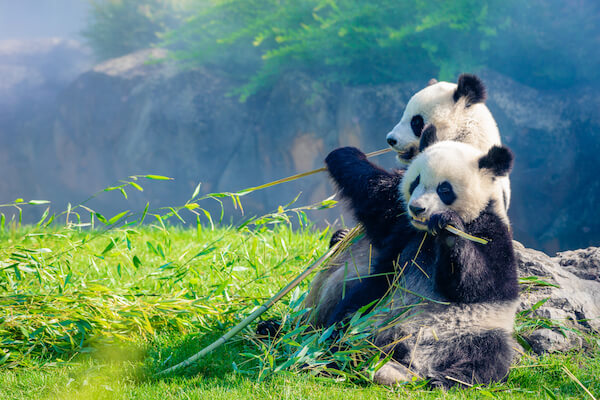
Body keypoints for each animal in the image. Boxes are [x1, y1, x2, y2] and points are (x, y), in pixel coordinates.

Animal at [322, 141, 516, 388]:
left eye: (445, 189)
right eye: (415, 181)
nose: (417, 208)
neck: (427, 234)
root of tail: (410, 357)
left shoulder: (491, 231)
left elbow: (481, 283)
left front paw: (448, 228)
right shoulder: (402, 225)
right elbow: (375, 195)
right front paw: (344, 154)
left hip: (474, 330)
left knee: (488, 355)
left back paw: (444, 380)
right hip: (373, 309)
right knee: (345, 322)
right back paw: (333, 356)